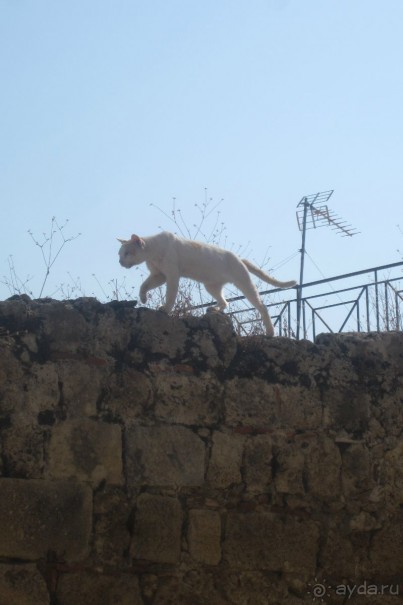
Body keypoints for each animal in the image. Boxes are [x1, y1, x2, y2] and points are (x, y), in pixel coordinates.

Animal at [117, 230, 296, 336]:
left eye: (126, 253)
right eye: (120, 254)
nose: (119, 262)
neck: (153, 252)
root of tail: (239, 258)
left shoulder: (172, 275)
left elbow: (170, 295)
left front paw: (165, 309)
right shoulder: (159, 275)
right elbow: (144, 285)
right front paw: (143, 298)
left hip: (244, 283)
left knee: (261, 306)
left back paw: (270, 332)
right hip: (211, 286)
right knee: (225, 302)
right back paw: (214, 309)